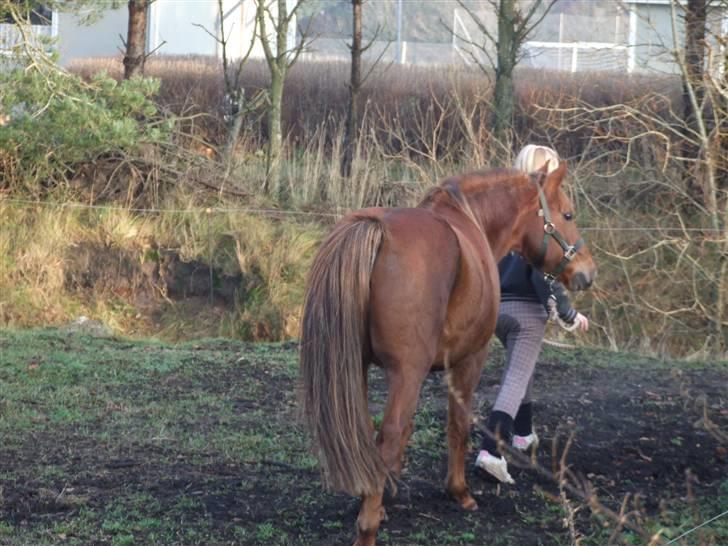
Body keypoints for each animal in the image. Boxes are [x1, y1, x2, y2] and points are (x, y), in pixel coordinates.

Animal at [298, 163, 596, 544]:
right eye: (568, 213)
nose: (588, 271)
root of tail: (376, 228)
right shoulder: (467, 361)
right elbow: (457, 424)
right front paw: (459, 491)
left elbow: (408, 430)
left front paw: (386, 495)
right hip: (408, 372)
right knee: (389, 434)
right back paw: (367, 529)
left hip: (356, 370)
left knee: (370, 433)